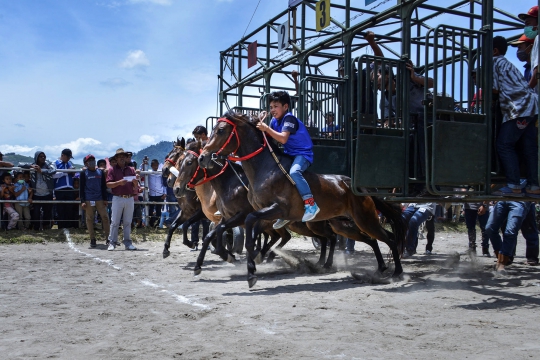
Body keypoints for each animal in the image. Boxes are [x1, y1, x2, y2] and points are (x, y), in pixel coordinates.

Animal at [198, 111, 404, 288]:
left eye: (221, 130)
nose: (203, 157)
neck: (265, 170)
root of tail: (356, 186)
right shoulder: (262, 215)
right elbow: (248, 231)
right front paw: (250, 264)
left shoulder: (276, 209)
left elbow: (250, 228)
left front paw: (250, 266)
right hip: (345, 224)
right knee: (371, 239)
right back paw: (380, 269)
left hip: (364, 219)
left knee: (388, 238)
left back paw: (397, 273)